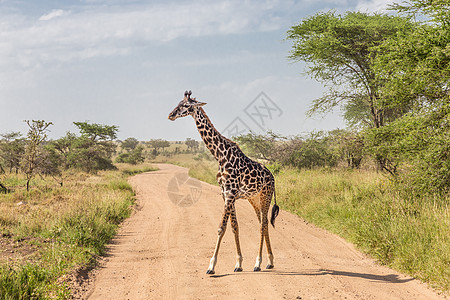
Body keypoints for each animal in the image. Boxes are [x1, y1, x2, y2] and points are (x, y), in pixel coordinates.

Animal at [169, 89, 280, 274]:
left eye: (186, 105)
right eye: (177, 103)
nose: (170, 115)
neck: (220, 156)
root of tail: (272, 177)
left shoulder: (230, 193)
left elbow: (221, 227)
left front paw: (211, 266)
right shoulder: (225, 194)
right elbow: (234, 226)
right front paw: (238, 263)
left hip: (265, 196)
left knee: (263, 225)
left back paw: (258, 263)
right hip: (254, 199)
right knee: (263, 223)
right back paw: (269, 261)